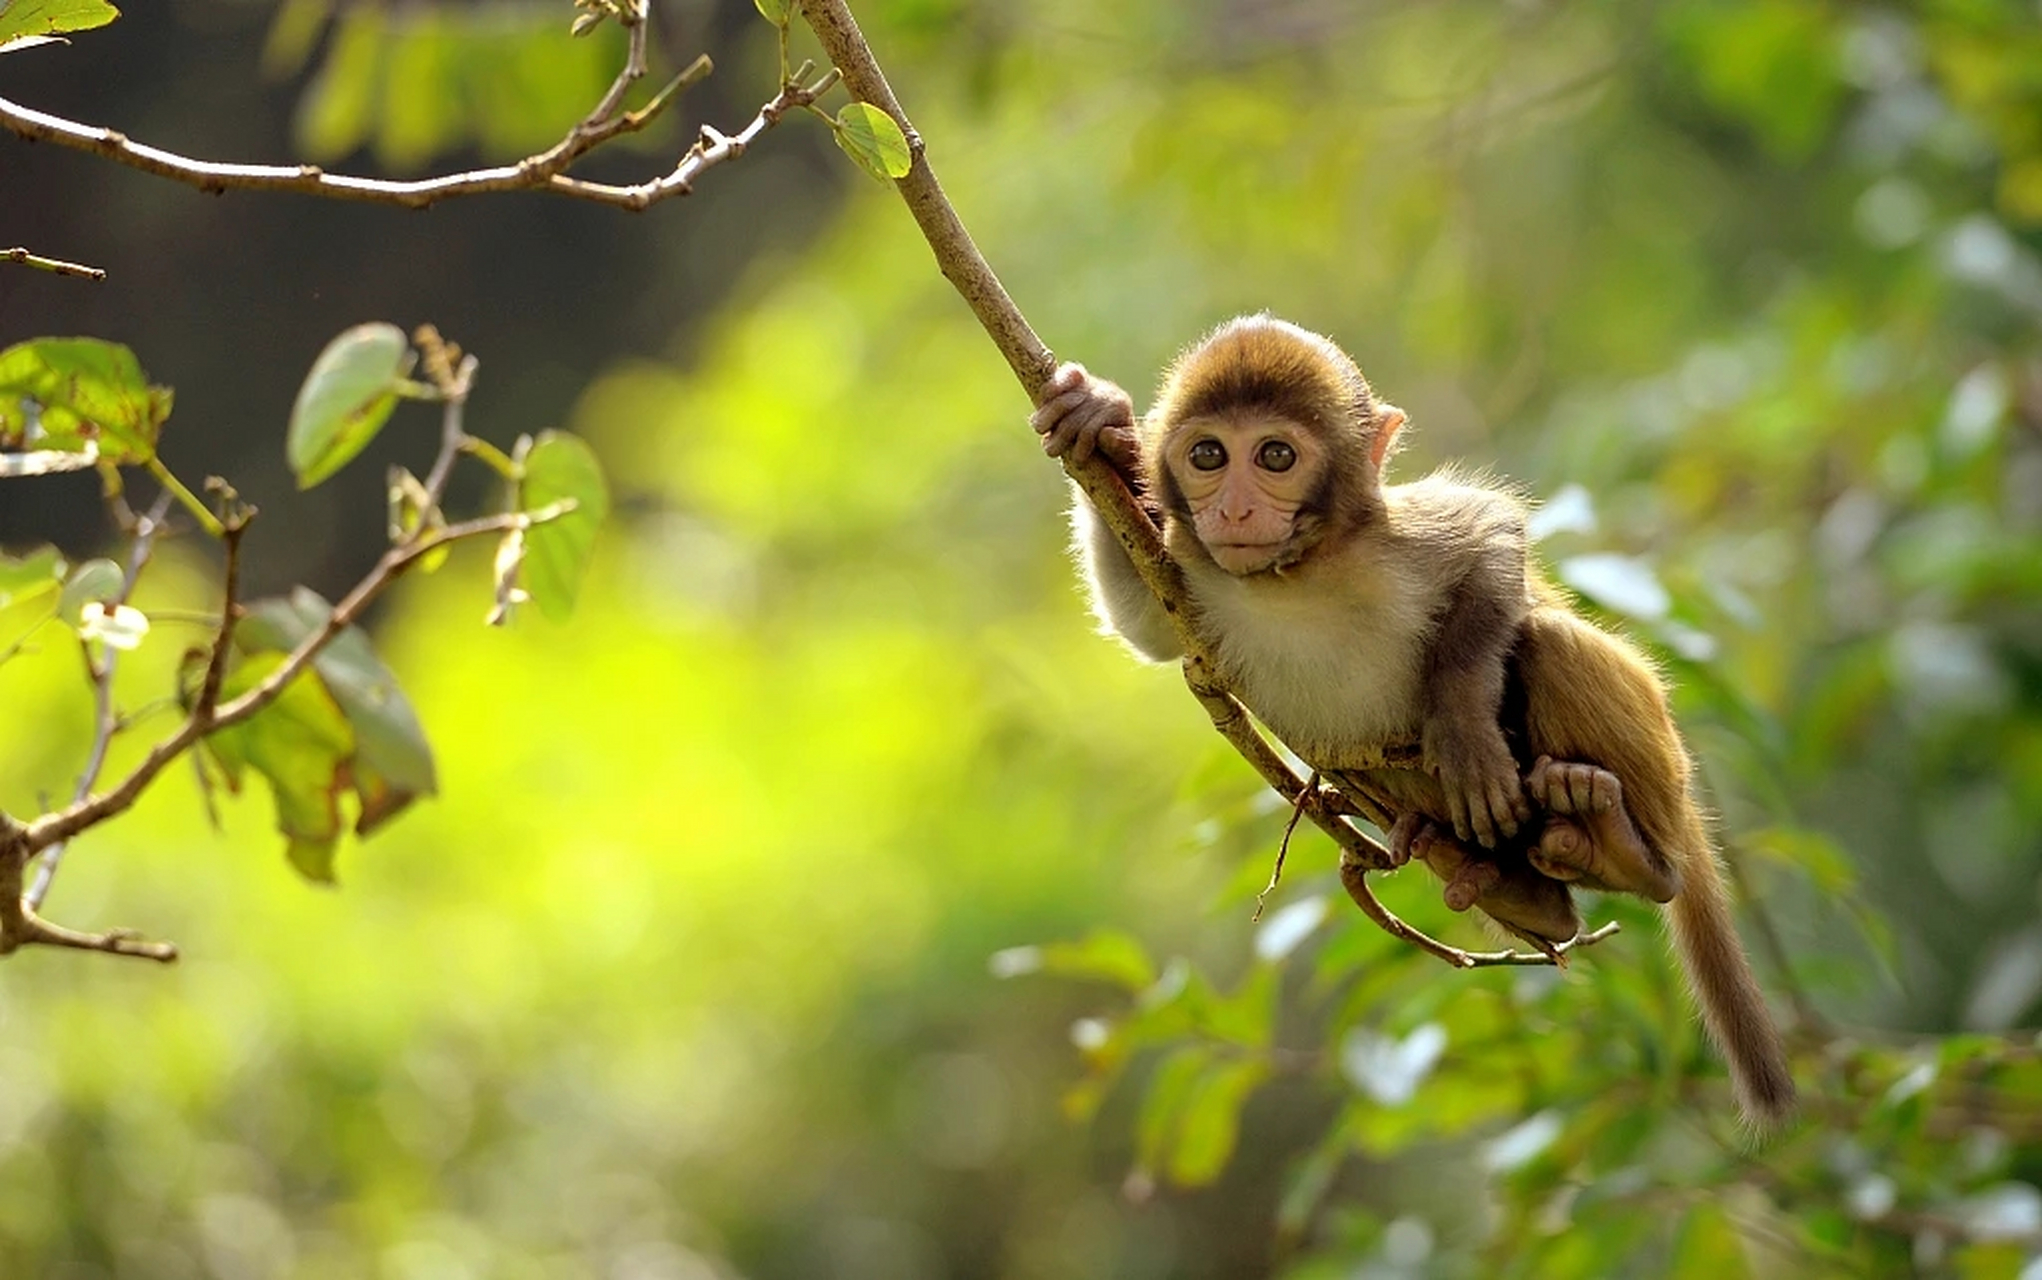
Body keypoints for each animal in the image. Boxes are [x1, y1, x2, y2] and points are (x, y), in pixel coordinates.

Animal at [1037, 316, 1788, 1126]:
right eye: (1207, 454)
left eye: (1275, 455)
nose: (1232, 512)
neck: (1296, 573)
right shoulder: (1193, 566)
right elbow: (1147, 630)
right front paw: (1097, 419)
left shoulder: (1396, 540)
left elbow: (1492, 530)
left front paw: (1461, 728)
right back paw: (1519, 886)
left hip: (1658, 762)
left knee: (1545, 642)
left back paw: (1628, 853)